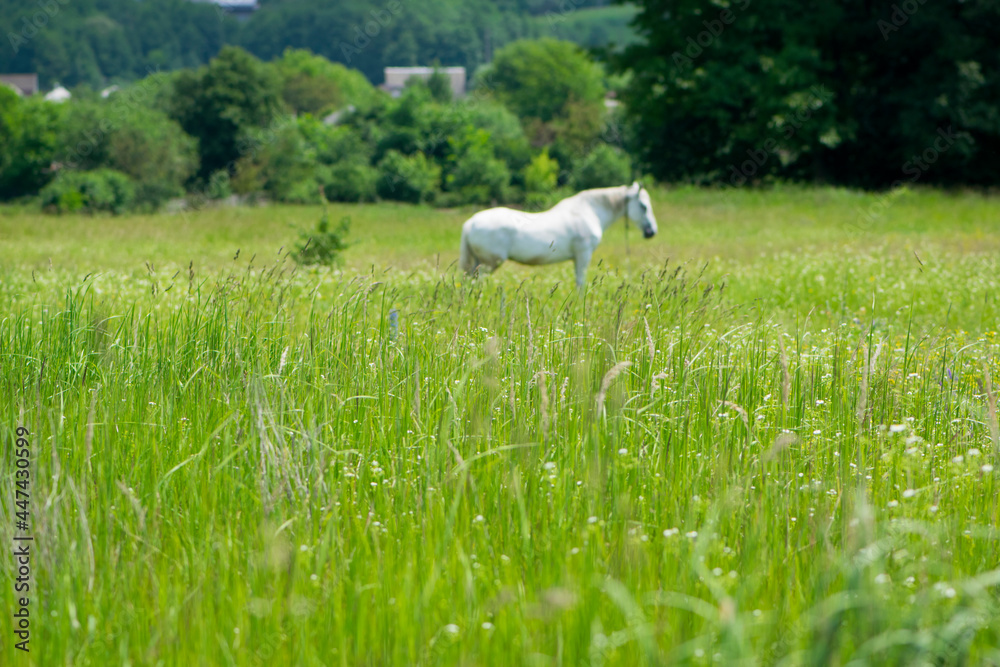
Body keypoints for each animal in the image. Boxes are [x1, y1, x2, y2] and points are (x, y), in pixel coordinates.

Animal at [459, 182, 658, 288]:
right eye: (643, 206)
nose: (651, 232)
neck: (589, 211)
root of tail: (470, 223)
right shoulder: (583, 254)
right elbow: (580, 282)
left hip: (477, 263)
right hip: (488, 264)